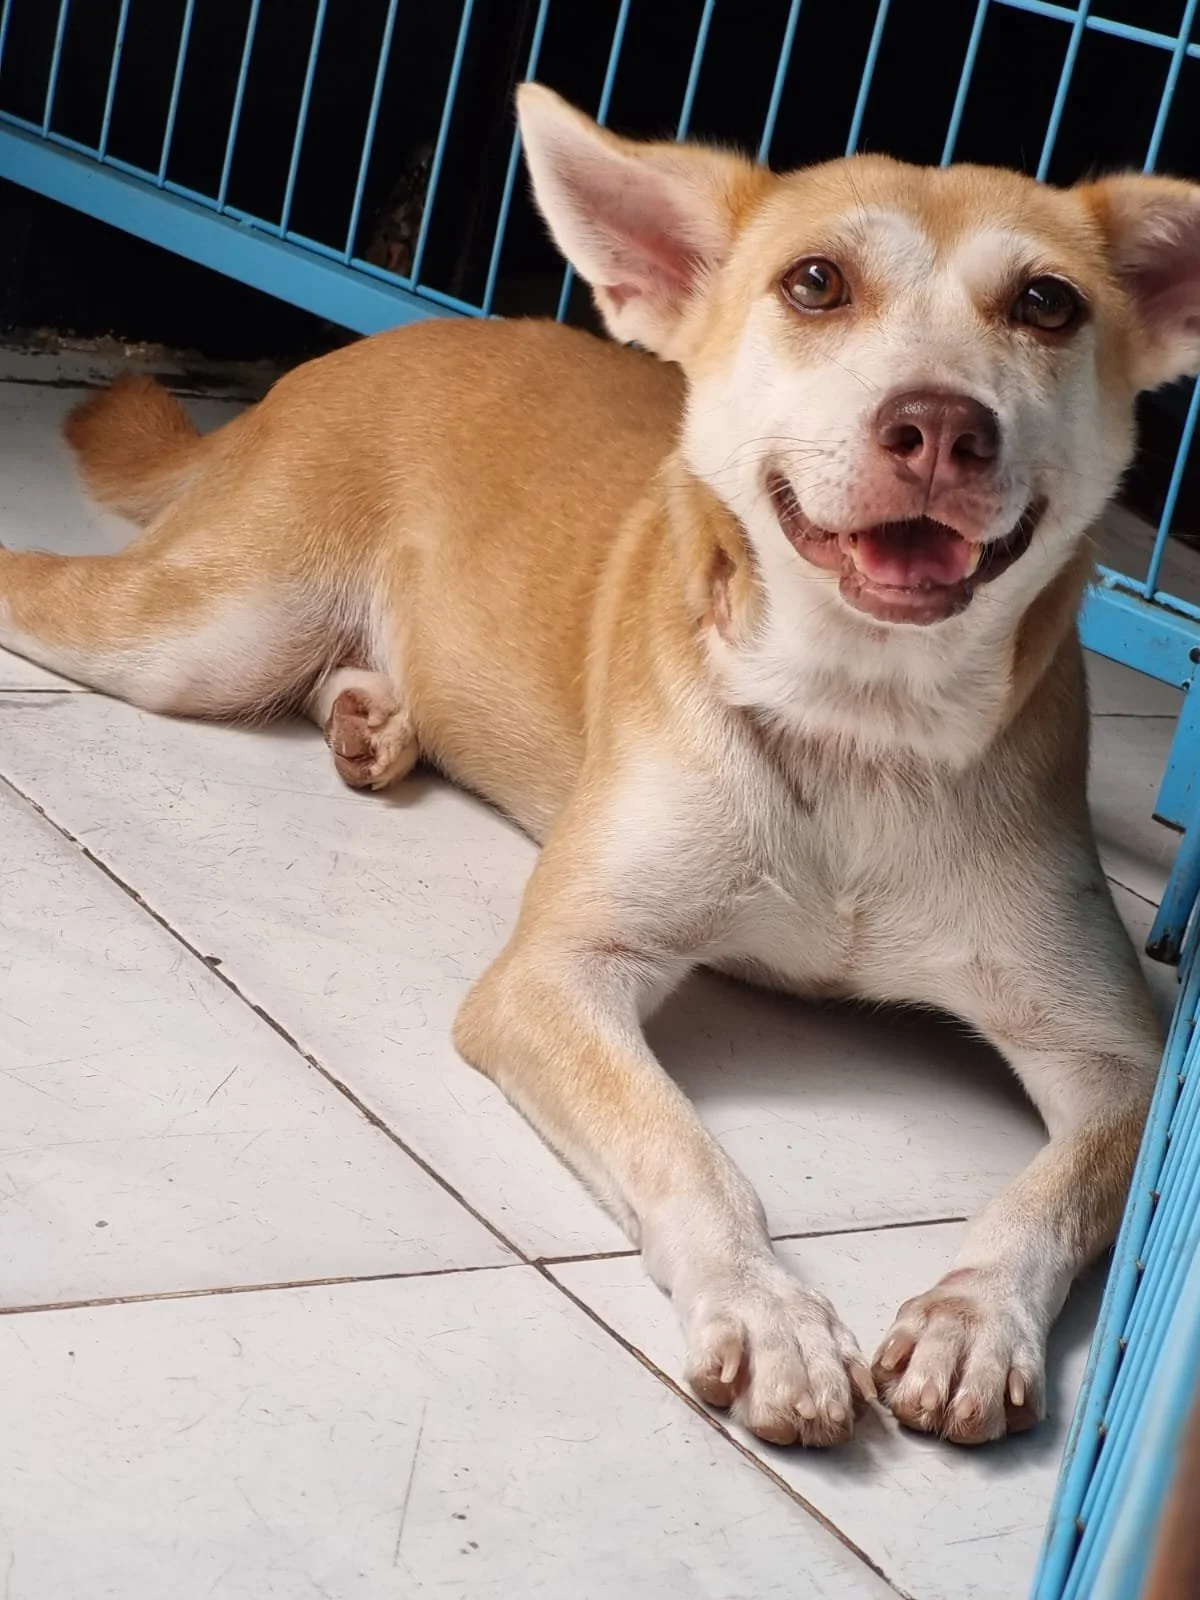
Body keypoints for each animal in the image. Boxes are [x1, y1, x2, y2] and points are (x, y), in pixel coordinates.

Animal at [1, 83, 1190, 1449]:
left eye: (1047, 303)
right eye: (817, 283)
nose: (940, 425)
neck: (858, 721)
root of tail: (337, 358)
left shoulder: (1122, 1061)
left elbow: (1052, 1190)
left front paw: (968, 1316)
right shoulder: (557, 974)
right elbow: (685, 1148)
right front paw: (769, 1309)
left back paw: (375, 717)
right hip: (204, 630)